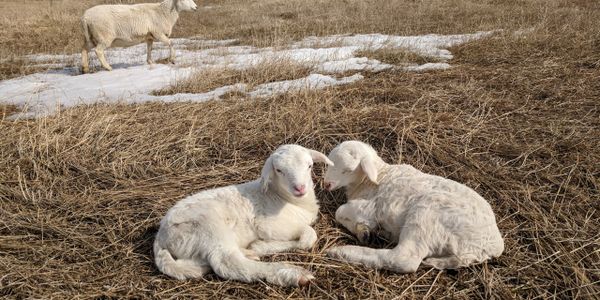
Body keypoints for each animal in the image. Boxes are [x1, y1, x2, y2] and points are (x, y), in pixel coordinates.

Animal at [152, 145, 336, 286]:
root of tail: (161, 236)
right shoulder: (268, 225)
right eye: (279, 170)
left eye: (309, 166)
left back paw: (247, 253)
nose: (300, 188)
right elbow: (309, 235)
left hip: (193, 246)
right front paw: (260, 245)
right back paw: (293, 273)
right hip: (206, 227)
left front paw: (257, 247)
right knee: (227, 263)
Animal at [324, 141, 502, 272]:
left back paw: (341, 252)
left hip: (426, 217)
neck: (377, 177)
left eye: (347, 170)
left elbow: (339, 211)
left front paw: (363, 229)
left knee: (404, 259)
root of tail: (492, 246)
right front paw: (364, 231)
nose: (326, 184)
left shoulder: (373, 207)